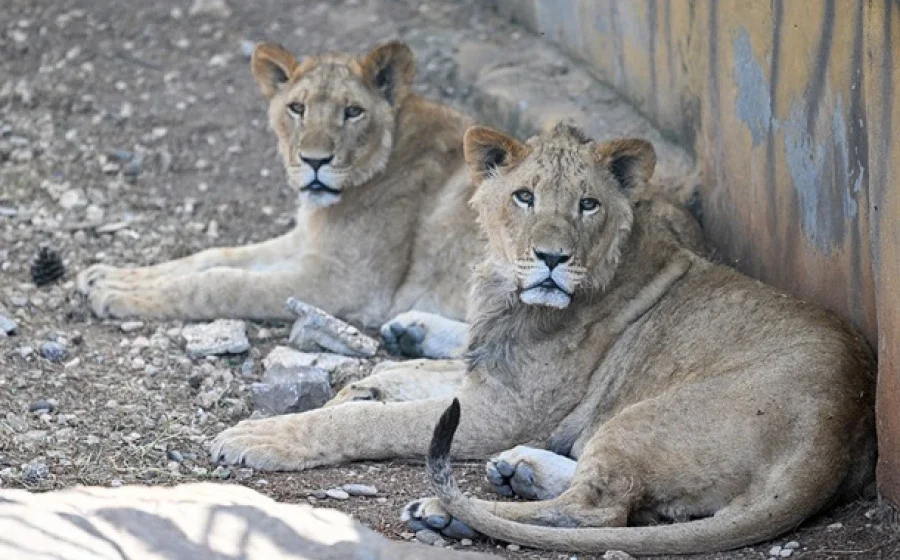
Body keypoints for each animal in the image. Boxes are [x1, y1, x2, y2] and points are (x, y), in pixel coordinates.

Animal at [211, 123, 875, 555]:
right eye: (523, 197)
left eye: (588, 205)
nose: (551, 258)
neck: (507, 294)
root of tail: (830, 440)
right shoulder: (493, 379)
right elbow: (428, 374)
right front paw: (384, 370)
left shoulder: (503, 411)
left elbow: (370, 423)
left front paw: (264, 436)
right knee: (618, 497)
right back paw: (516, 468)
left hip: (645, 417)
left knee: (597, 511)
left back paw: (450, 513)